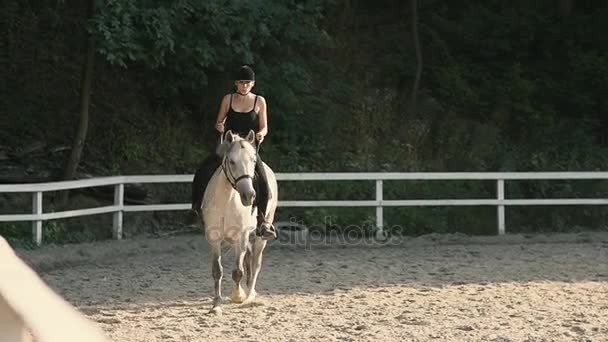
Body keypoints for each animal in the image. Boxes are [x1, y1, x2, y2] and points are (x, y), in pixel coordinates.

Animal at [203, 130, 280, 314]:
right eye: (231, 161)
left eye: (253, 161)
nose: (249, 196)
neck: (227, 200)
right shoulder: (214, 237)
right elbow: (217, 270)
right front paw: (216, 304)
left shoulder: (242, 235)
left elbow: (238, 271)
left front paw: (238, 296)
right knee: (249, 259)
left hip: (260, 235)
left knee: (256, 262)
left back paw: (250, 295)